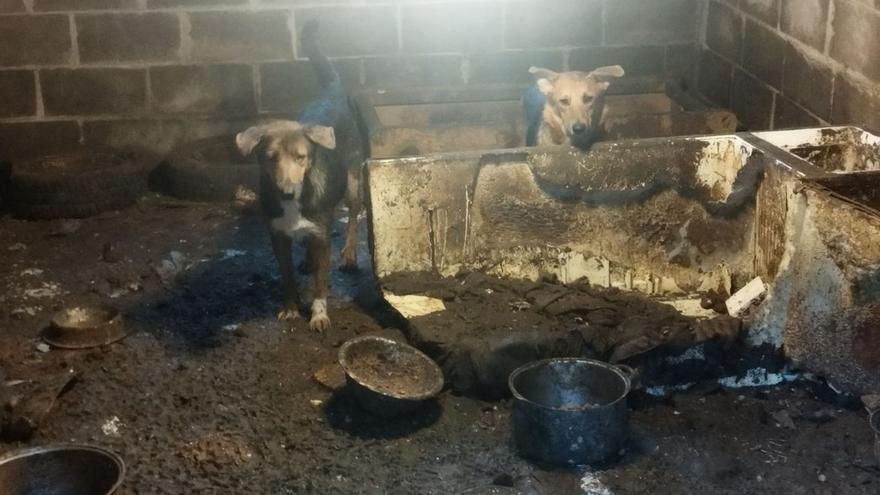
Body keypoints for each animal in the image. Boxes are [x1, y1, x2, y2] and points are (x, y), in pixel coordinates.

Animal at [234, 20, 364, 334]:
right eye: (270, 158)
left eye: (301, 157)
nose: (287, 192)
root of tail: (332, 91)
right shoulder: (278, 236)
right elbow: (287, 276)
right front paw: (291, 308)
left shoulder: (322, 236)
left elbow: (321, 283)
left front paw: (318, 314)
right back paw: (307, 259)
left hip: (353, 183)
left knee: (354, 215)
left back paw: (350, 254)